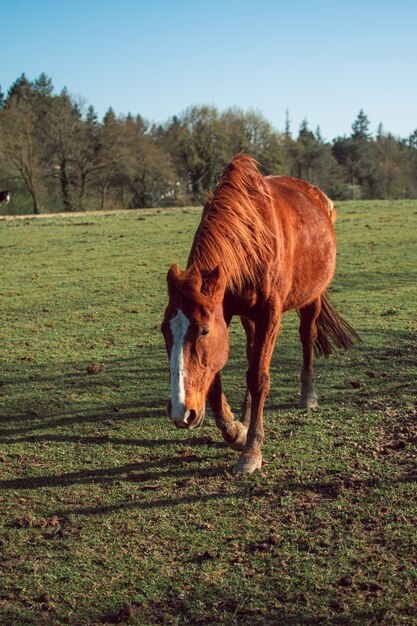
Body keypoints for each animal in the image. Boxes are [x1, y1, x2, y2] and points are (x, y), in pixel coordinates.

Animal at [160, 154, 358, 470]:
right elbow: (218, 377)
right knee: (253, 352)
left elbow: (259, 377)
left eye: (203, 331)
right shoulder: (226, 312)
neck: (250, 238)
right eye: (165, 330)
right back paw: (245, 413)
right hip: (248, 316)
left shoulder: (269, 316)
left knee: (307, 336)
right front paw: (235, 431)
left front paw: (251, 450)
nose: (181, 412)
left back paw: (308, 395)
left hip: (311, 298)